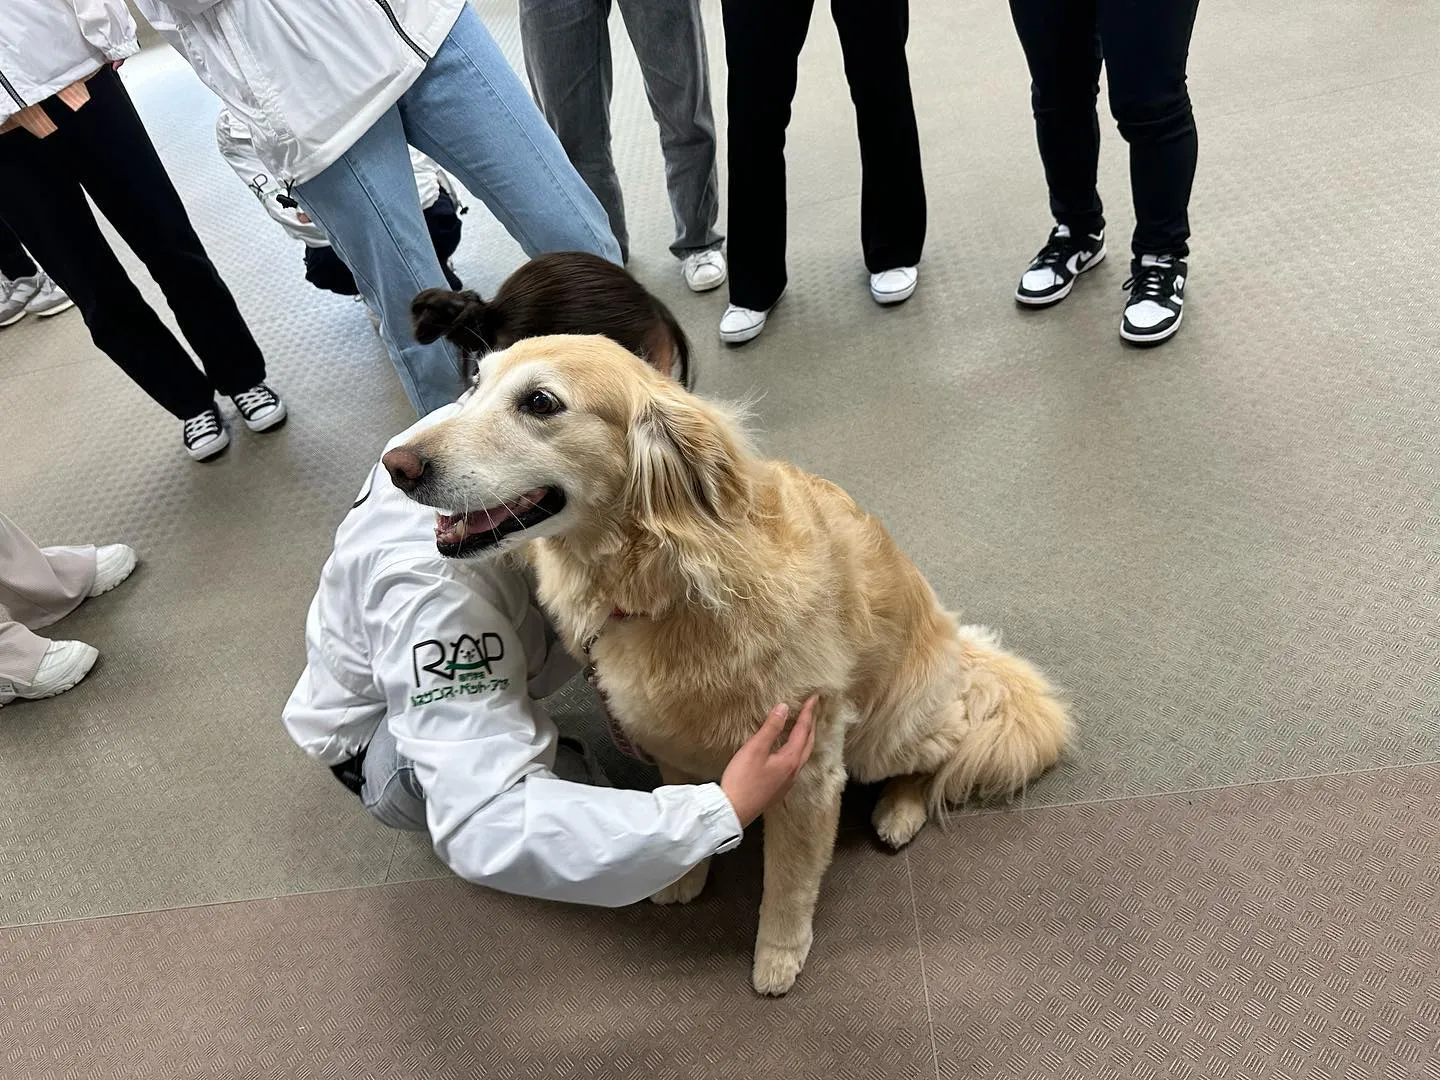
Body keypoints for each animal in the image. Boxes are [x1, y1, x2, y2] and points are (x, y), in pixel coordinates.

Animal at [383, 334, 1071, 996]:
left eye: (541, 403)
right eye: (474, 384)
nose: (396, 465)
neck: (663, 586)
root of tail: (961, 650)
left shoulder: (807, 771)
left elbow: (789, 883)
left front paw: (779, 956)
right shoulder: (669, 740)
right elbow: (685, 799)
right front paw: (688, 869)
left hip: (884, 734)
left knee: (947, 744)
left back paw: (900, 810)